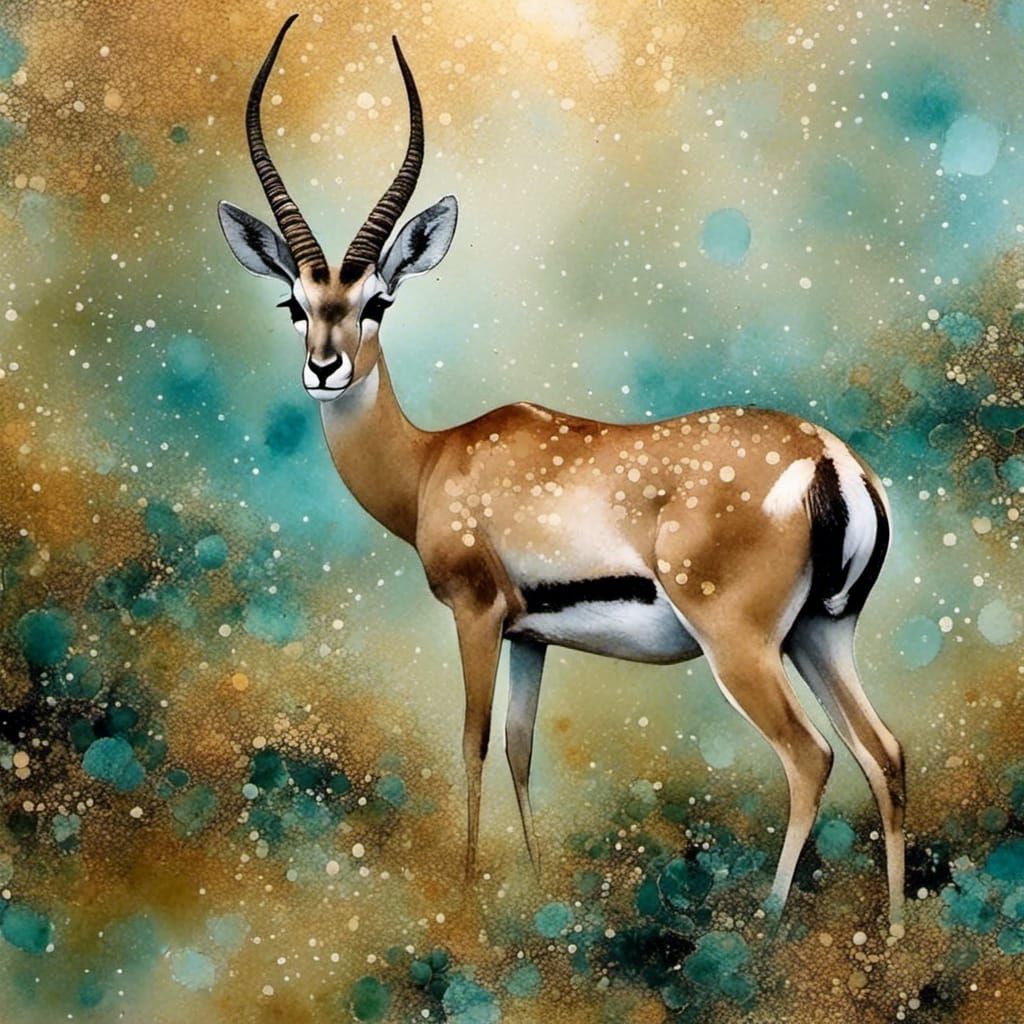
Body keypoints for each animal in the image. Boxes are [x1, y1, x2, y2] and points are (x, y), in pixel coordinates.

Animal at [218, 15, 905, 925]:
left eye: (379, 303)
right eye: (295, 303)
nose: (325, 370)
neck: (434, 461)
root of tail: (830, 458)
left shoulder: (476, 614)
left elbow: (472, 744)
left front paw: (468, 897)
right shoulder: (532, 637)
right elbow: (519, 750)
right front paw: (538, 891)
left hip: (744, 645)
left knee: (811, 758)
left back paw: (767, 922)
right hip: (821, 634)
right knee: (884, 753)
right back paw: (897, 935)